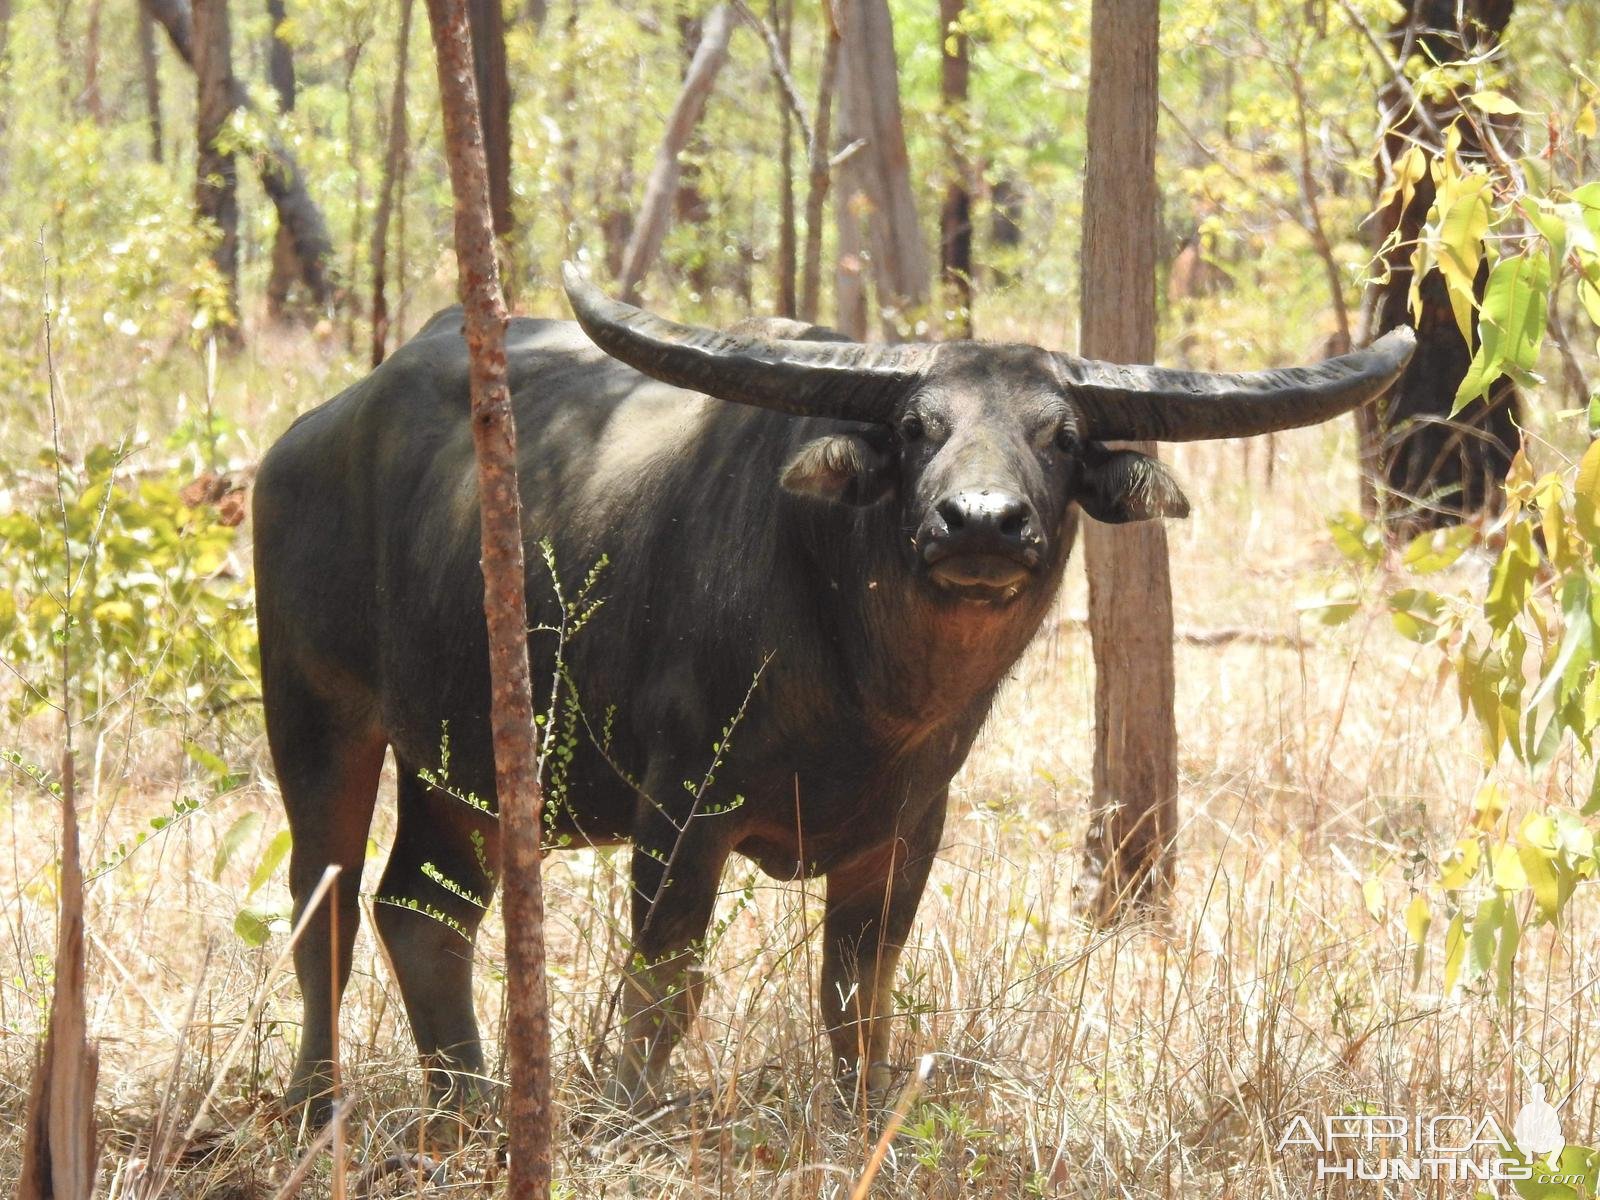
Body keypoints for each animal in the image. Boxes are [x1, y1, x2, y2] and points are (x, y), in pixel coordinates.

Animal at [252, 265, 1414, 1126]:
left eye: (1062, 436)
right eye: (917, 425)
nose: (981, 523)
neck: (870, 693)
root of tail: (311, 435)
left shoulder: (907, 831)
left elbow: (858, 997)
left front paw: (861, 1114)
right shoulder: (685, 809)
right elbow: (664, 988)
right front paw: (628, 1110)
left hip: (459, 764)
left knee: (424, 910)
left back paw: (467, 1102)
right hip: (316, 716)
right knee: (326, 907)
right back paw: (318, 1103)